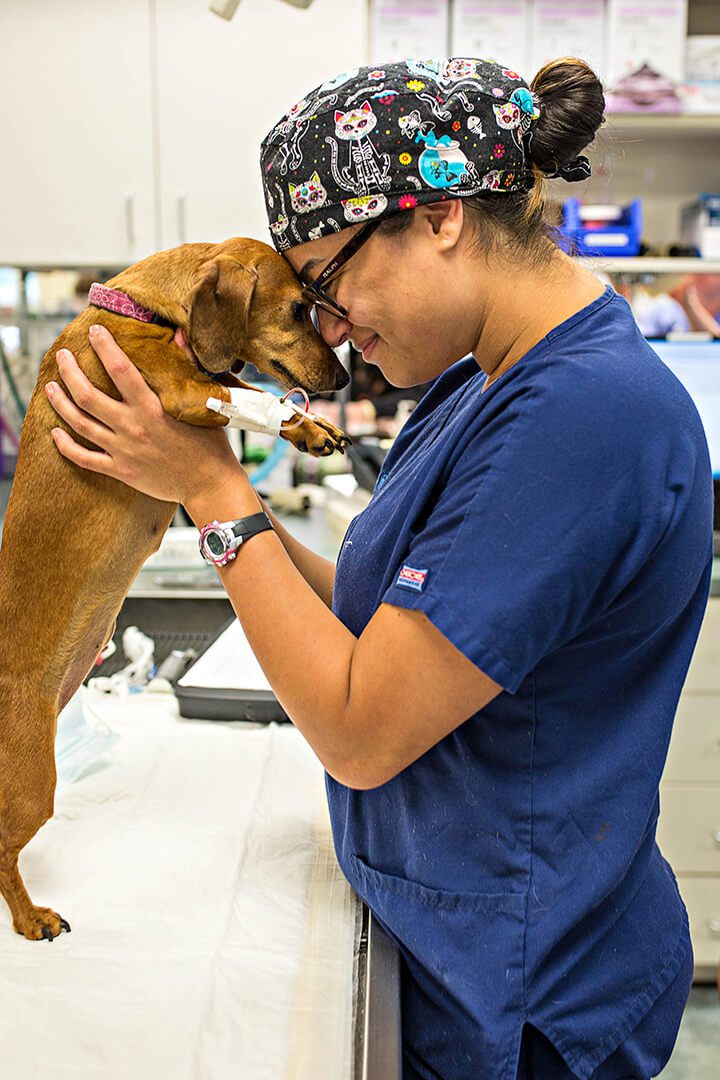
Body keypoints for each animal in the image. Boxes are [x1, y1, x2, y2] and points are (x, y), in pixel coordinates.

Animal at [0, 234, 349, 937]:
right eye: (298, 308)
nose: (346, 379)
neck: (144, 312)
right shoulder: (182, 393)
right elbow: (251, 399)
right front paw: (297, 420)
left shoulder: (208, 377)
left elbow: (241, 384)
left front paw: (312, 428)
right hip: (29, 783)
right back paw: (31, 918)